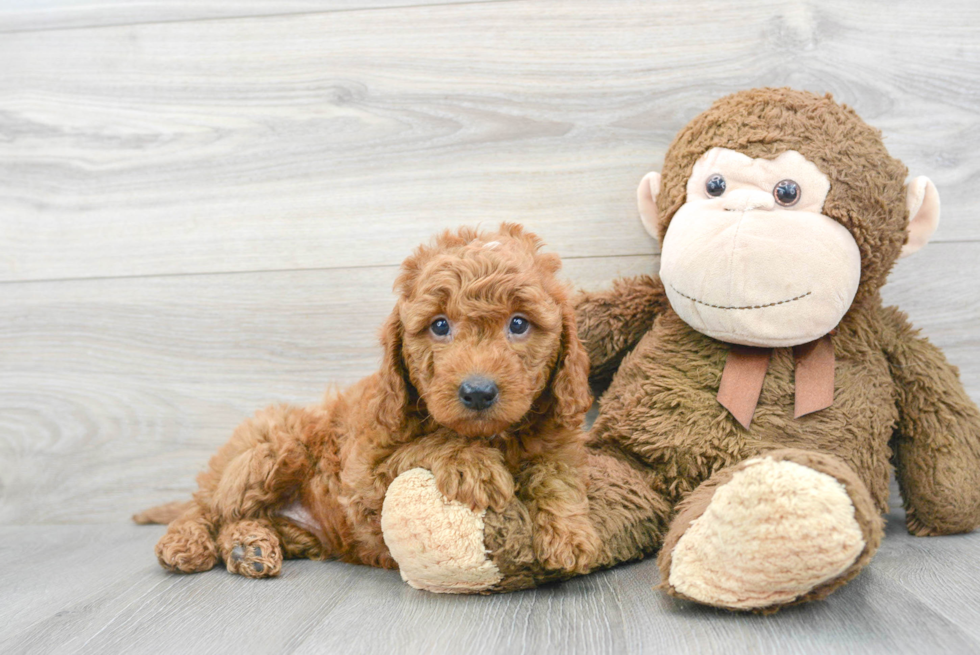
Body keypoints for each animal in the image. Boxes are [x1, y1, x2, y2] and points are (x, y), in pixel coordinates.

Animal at [136, 224, 596, 580]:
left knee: (233, 516)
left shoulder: (555, 442)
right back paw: (187, 541)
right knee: (210, 507)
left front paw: (570, 533)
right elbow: (425, 445)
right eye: (439, 326)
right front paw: (473, 465)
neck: (492, 435)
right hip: (279, 444)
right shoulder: (362, 478)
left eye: (519, 324)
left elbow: (555, 473)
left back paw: (254, 546)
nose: (478, 391)